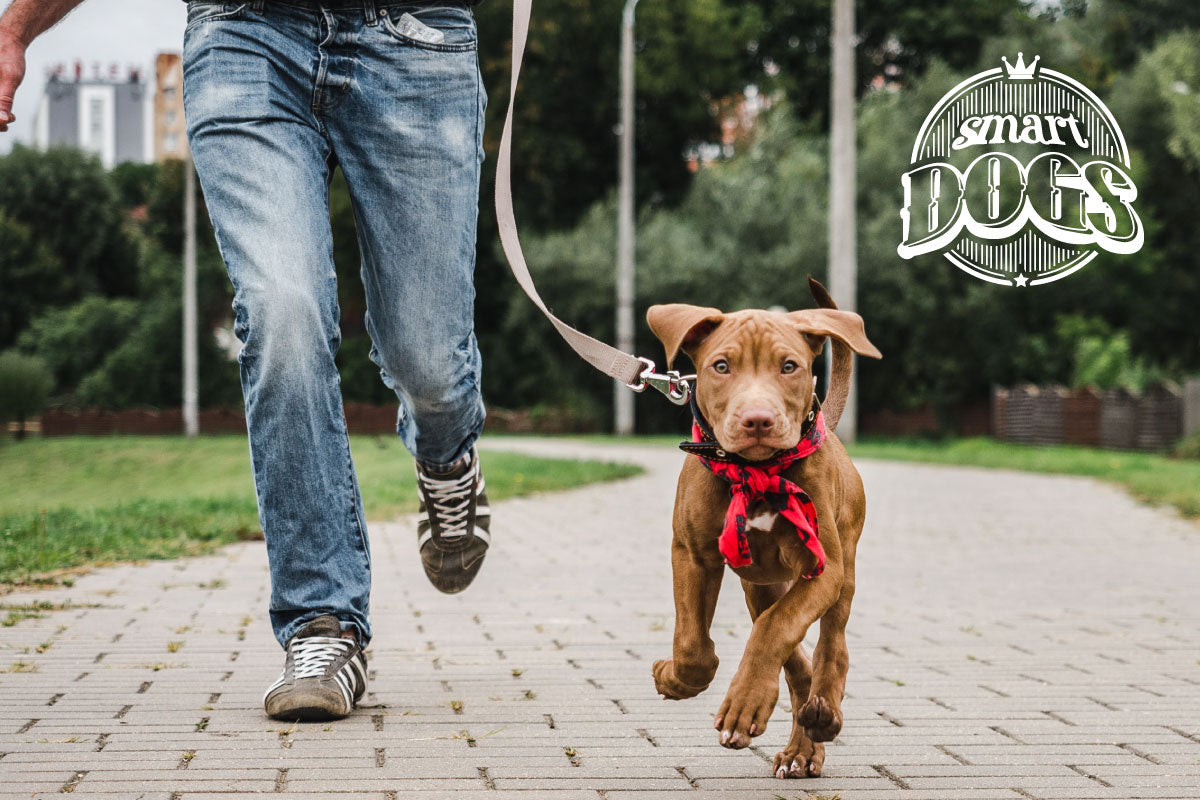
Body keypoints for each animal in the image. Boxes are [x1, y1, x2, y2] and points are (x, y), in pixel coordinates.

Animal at [648, 278, 883, 777]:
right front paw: (675, 678)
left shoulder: (823, 569)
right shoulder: (692, 555)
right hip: (760, 583)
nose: (758, 420)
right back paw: (804, 743)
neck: (755, 472)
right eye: (721, 366)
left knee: (830, 646)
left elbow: (776, 629)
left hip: (844, 566)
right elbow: (693, 644)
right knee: (793, 657)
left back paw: (822, 714)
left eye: (789, 366)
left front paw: (744, 703)